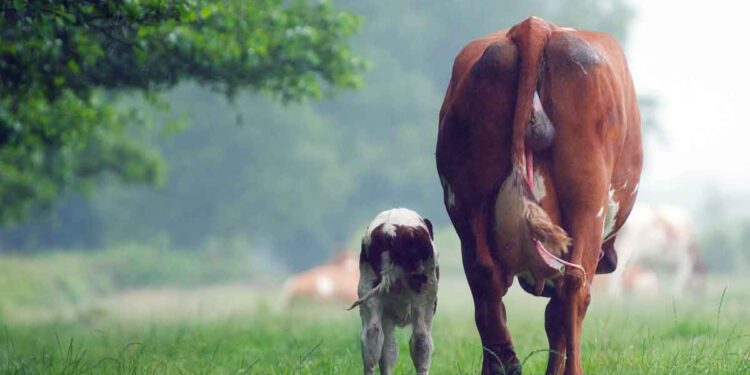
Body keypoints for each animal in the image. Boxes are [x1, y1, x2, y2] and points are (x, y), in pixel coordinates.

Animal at [348, 209, 438, 375]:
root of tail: (391, 231)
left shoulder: (386, 315)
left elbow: (388, 351)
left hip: (367, 289)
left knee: (372, 335)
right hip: (426, 293)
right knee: (421, 338)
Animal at [438, 16, 644, 374]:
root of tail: (534, 26)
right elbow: (557, 314)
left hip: (468, 204)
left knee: (485, 281)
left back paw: (502, 363)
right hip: (588, 203)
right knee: (575, 285)